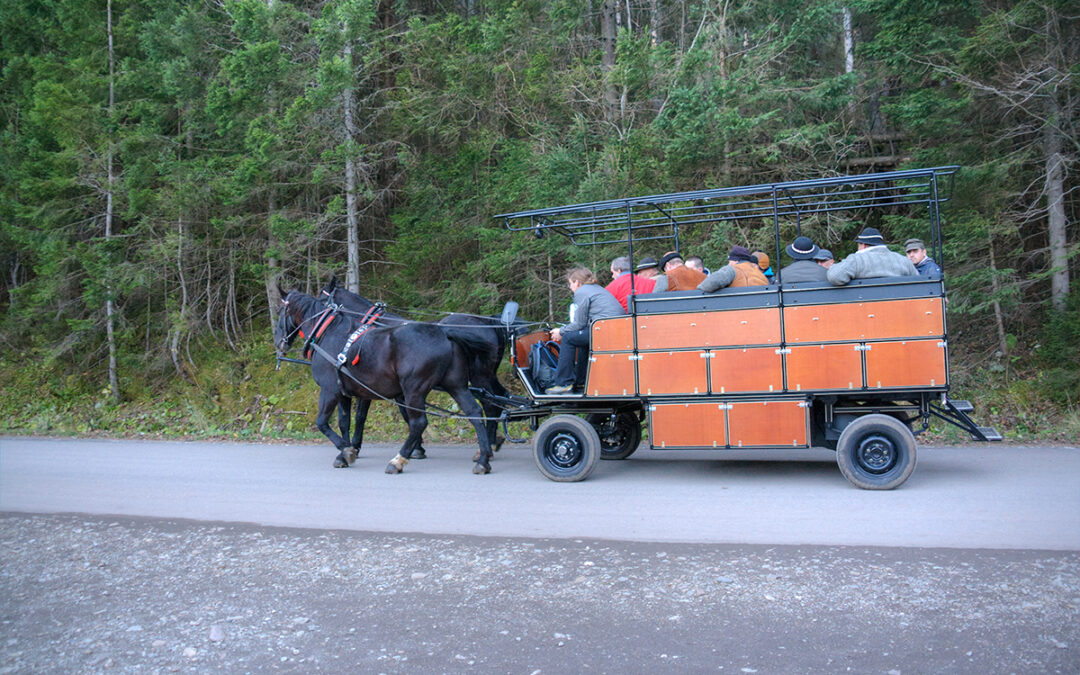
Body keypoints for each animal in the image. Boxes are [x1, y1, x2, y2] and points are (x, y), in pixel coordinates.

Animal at [278, 287, 496, 473]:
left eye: (280, 310)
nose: (279, 342)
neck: (329, 332)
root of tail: (444, 333)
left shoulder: (330, 389)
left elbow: (323, 422)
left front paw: (347, 450)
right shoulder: (345, 392)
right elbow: (344, 421)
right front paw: (346, 452)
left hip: (414, 390)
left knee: (419, 422)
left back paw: (398, 460)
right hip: (455, 385)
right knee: (475, 412)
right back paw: (484, 459)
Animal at [317, 276, 511, 455]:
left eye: (321, 297)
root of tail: (489, 322)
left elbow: (361, 416)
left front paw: (356, 445)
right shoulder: (395, 390)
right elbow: (406, 414)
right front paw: (417, 446)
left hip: (479, 377)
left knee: (490, 405)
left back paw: (489, 444)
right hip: (486, 376)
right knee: (500, 398)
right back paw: (493, 441)